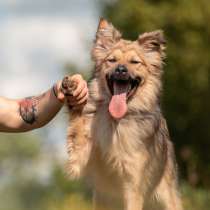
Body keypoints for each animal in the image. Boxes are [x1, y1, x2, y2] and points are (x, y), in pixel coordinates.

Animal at [61, 18, 183, 210]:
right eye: (112, 60)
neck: (116, 120)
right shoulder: (81, 156)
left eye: (135, 62)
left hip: (167, 198)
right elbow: (78, 125)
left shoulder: (133, 186)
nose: (120, 69)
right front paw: (74, 89)